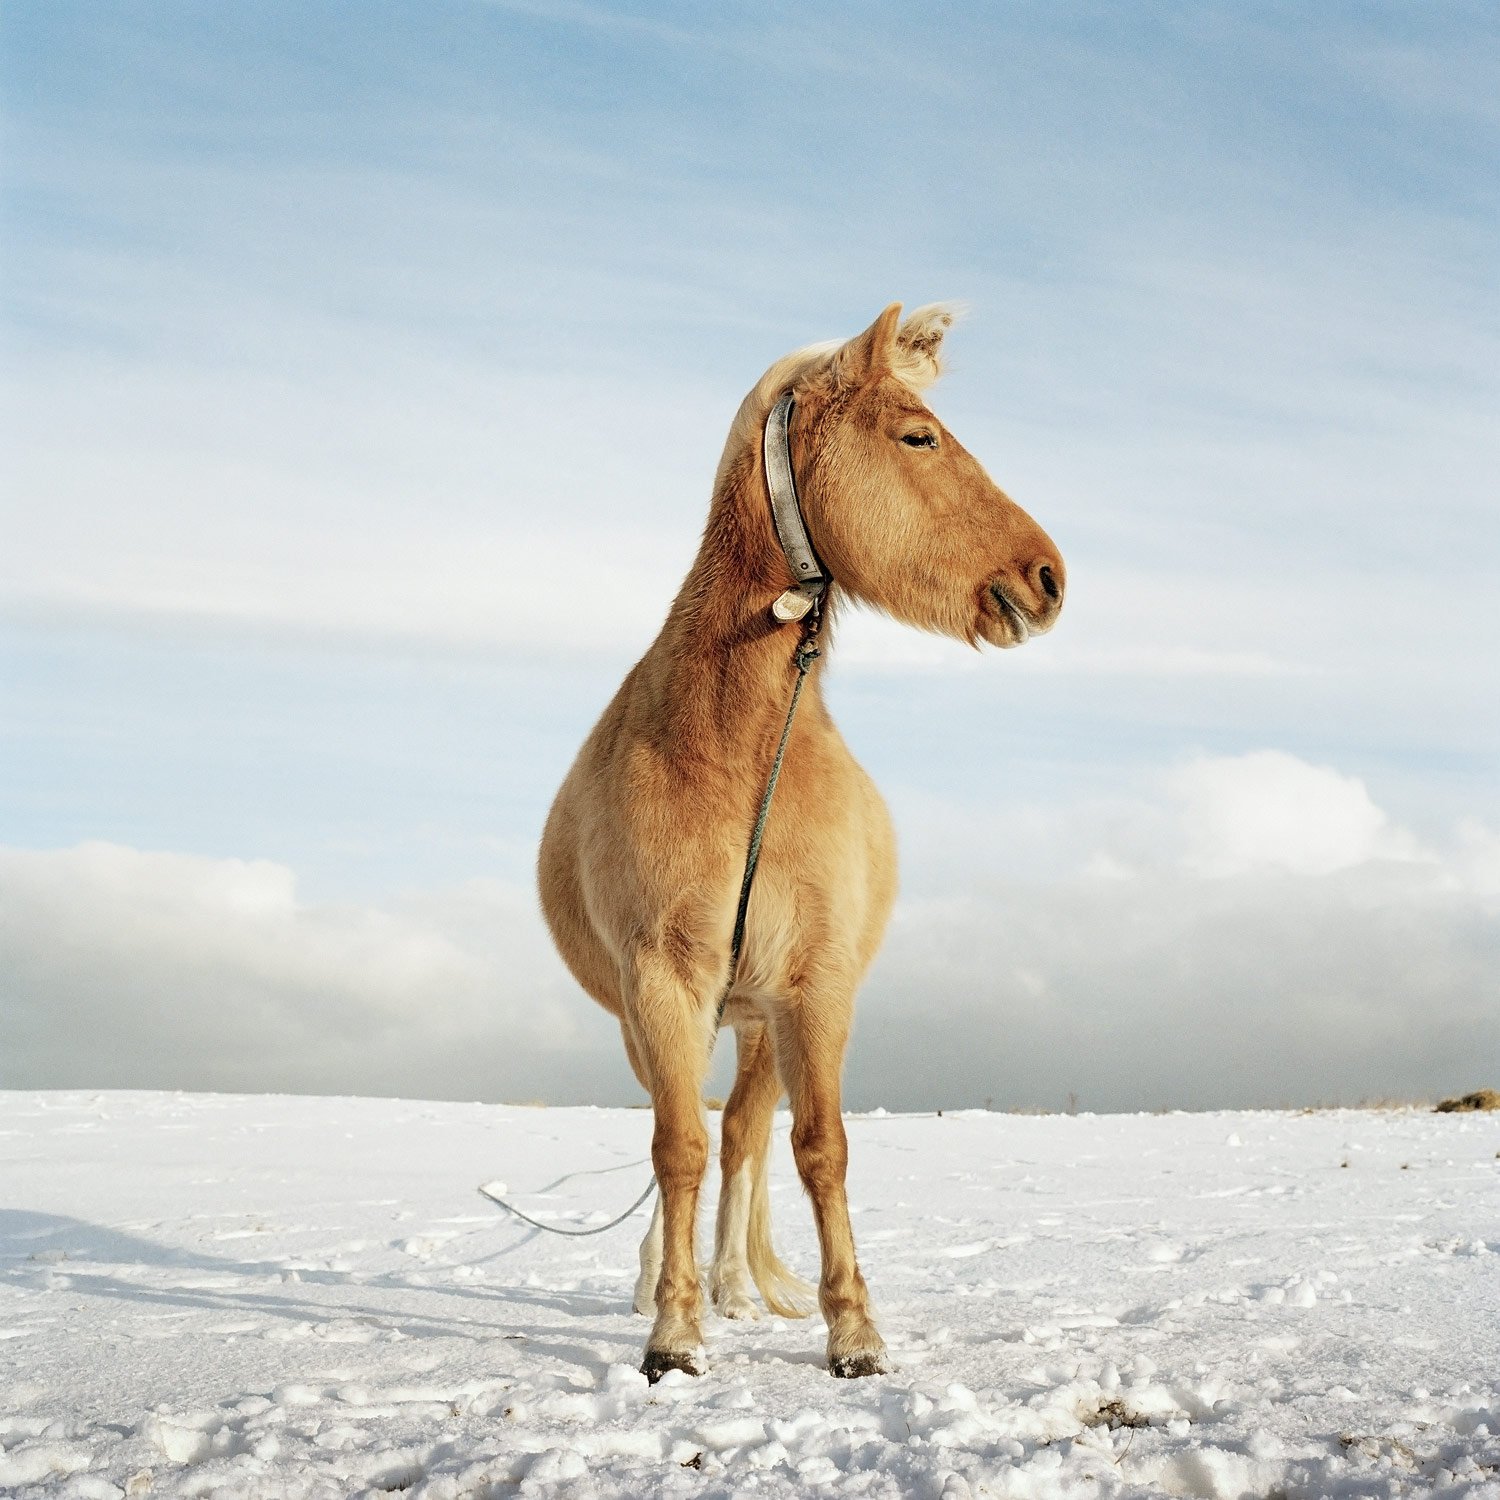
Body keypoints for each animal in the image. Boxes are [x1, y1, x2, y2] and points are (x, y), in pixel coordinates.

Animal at [540, 304, 1068, 1380]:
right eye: (919, 437)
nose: (1047, 576)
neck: (735, 748)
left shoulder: (813, 987)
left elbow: (819, 1147)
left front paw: (853, 1333)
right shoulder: (665, 984)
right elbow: (676, 1147)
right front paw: (672, 1333)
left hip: (763, 1021)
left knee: (747, 1133)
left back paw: (740, 1286)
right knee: (700, 1135)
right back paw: (674, 1280)